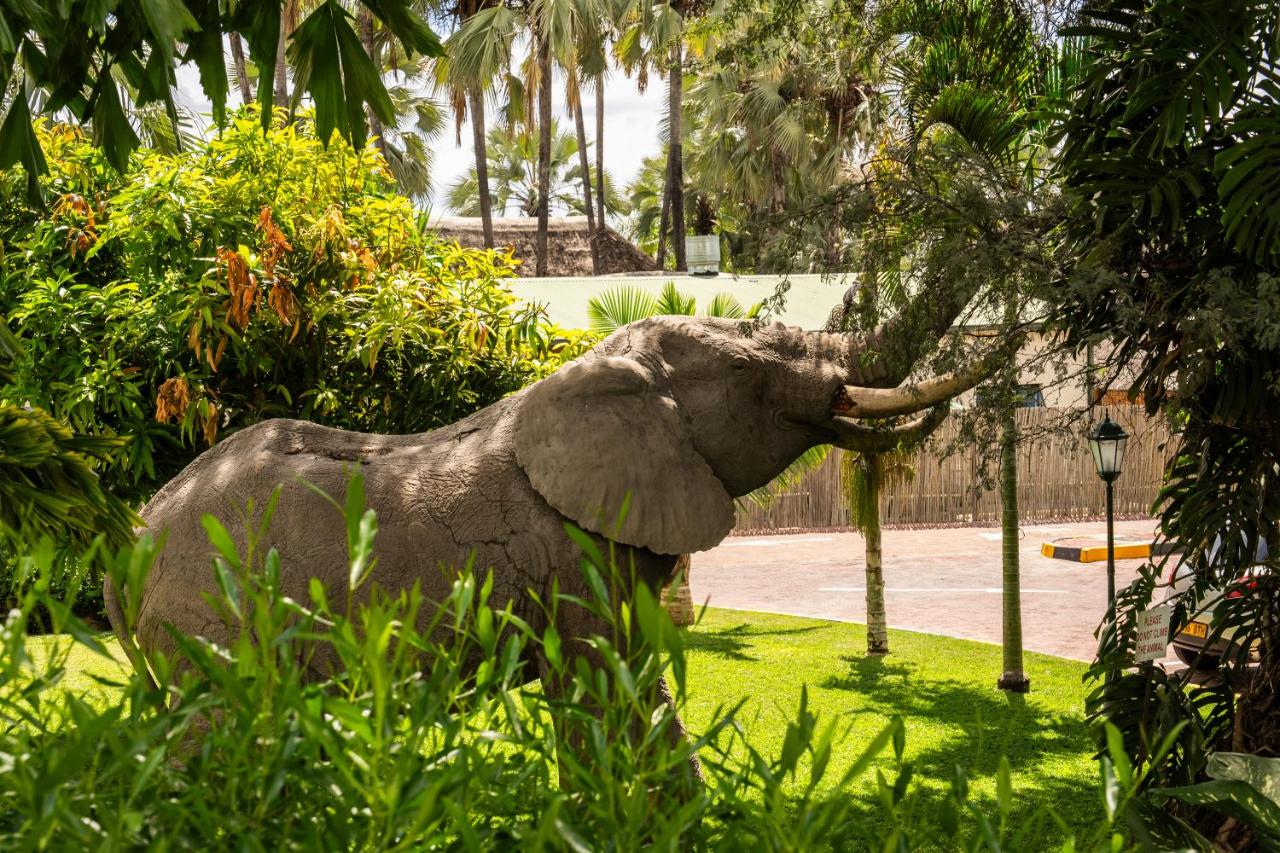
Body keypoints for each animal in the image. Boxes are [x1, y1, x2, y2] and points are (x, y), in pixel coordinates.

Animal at [105, 313, 984, 763]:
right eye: (745, 371)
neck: (594, 369)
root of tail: (132, 535)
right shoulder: (572, 557)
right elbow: (612, 691)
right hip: (213, 618)